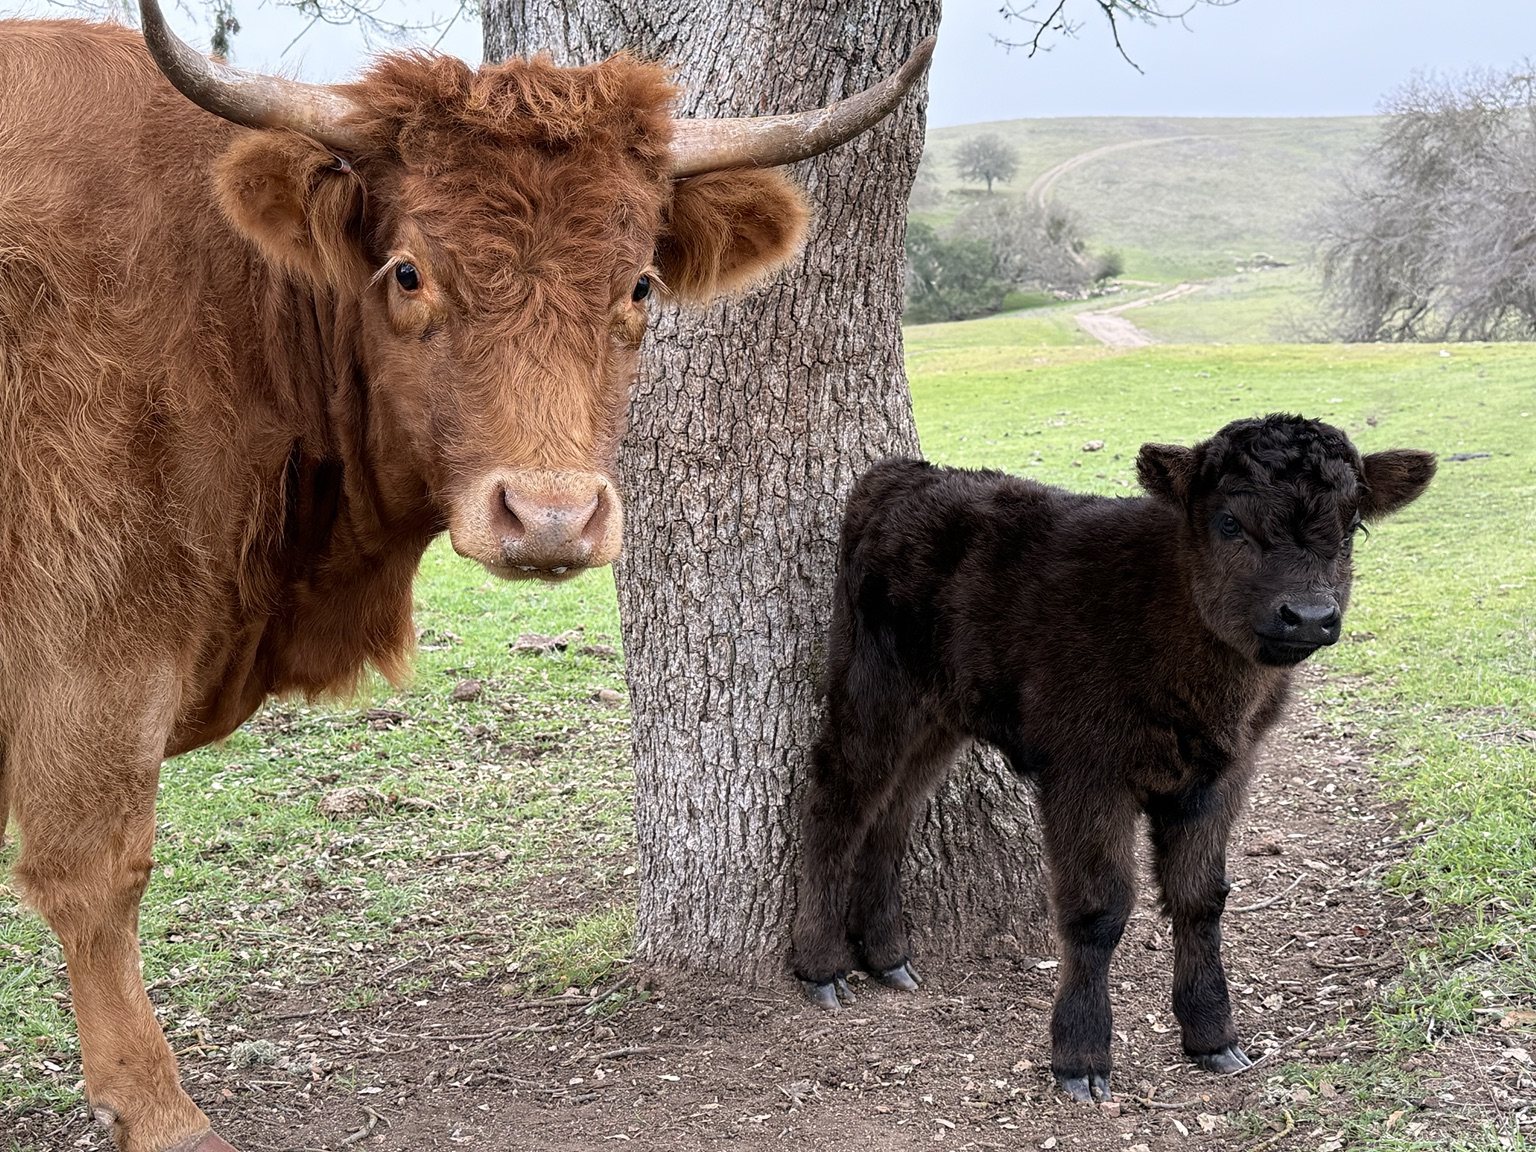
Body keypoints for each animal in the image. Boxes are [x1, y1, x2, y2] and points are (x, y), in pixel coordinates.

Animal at [0, 4, 933, 1149]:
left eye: (639, 283)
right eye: (408, 271)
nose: (551, 514)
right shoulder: (91, 647)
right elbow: (99, 872)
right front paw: (157, 1108)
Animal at [789, 414, 1435, 1103]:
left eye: (1353, 525)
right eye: (1229, 523)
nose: (1308, 616)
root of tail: (901, 474)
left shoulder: (1225, 772)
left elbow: (1201, 897)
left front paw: (1214, 1038)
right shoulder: (1085, 769)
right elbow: (1099, 908)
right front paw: (1081, 1058)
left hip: (941, 712)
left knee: (895, 810)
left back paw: (888, 957)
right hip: (870, 685)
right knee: (838, 801)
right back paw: (822, 965)